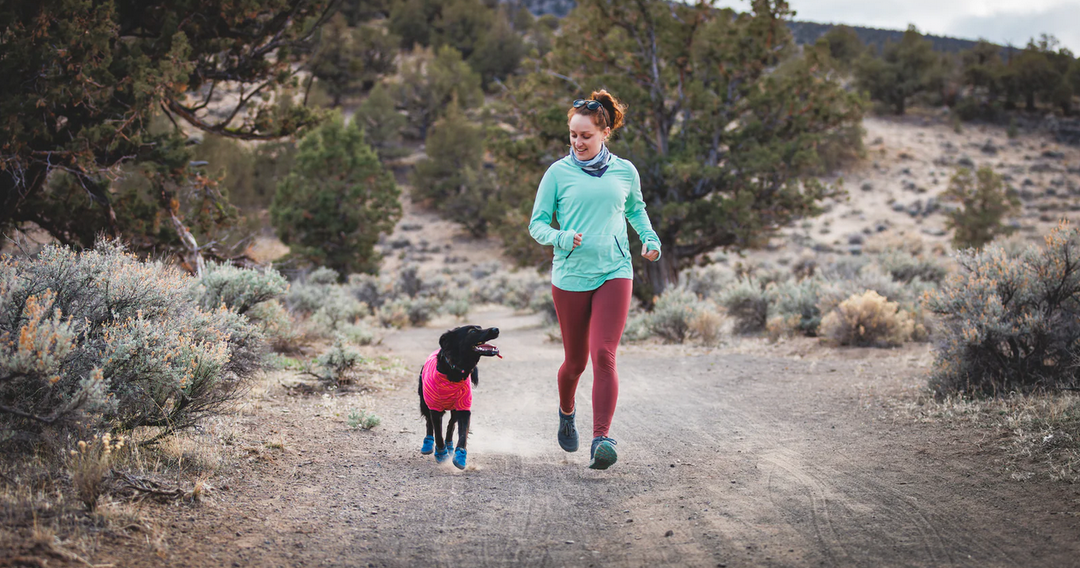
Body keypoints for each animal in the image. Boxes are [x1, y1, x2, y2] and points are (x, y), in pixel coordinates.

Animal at [419, 328, 498, 470]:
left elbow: (462, 434)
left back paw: (450, 446)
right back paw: (428, 443)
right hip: (424, 402)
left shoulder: (464, 408)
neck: (454, 372)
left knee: (451, 425)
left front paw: (460, 456)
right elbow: (438, 433)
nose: (496, 329)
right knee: (429, 422)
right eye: (472, 331)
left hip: (454, 410)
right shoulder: (435, 408)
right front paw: (441, 454)